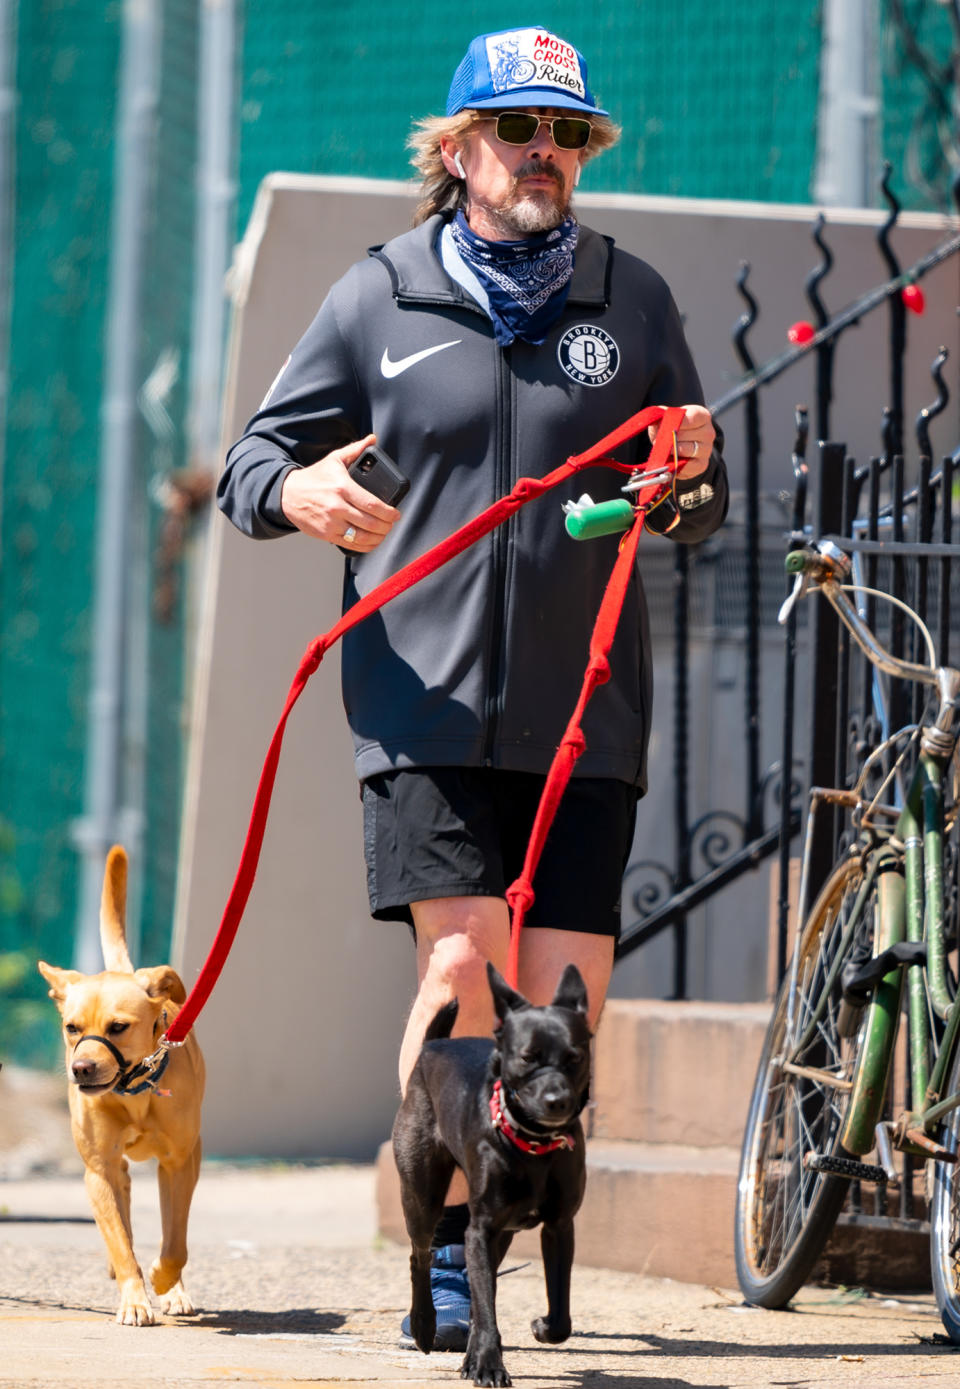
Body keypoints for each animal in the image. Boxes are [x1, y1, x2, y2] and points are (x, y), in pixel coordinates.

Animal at [38, 838, 204, 1327]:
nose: (81, 1069)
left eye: (118, 1027)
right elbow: (120, 1239)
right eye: (72, 1027)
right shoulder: (100, 1171)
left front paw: (166, 1282)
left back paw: (173, 1289)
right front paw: (134, 1298)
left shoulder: (179, 1163)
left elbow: (175, 1243)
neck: (134, 1093)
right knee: (124, 1213)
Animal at [391, 961, 594, 1383]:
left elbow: (560, 1313)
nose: (557, 1100)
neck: (533, 1146)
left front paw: (540, 1327)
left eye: (575, 1057)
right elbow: (485, 1309)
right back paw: (424, 1326)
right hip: (422, 1196)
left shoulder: (558, 1227)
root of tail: (433, 1045)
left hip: (502, 1235)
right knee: (420, 1257)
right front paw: (487, 1363)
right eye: (527, 1057)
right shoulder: (480, 1230)